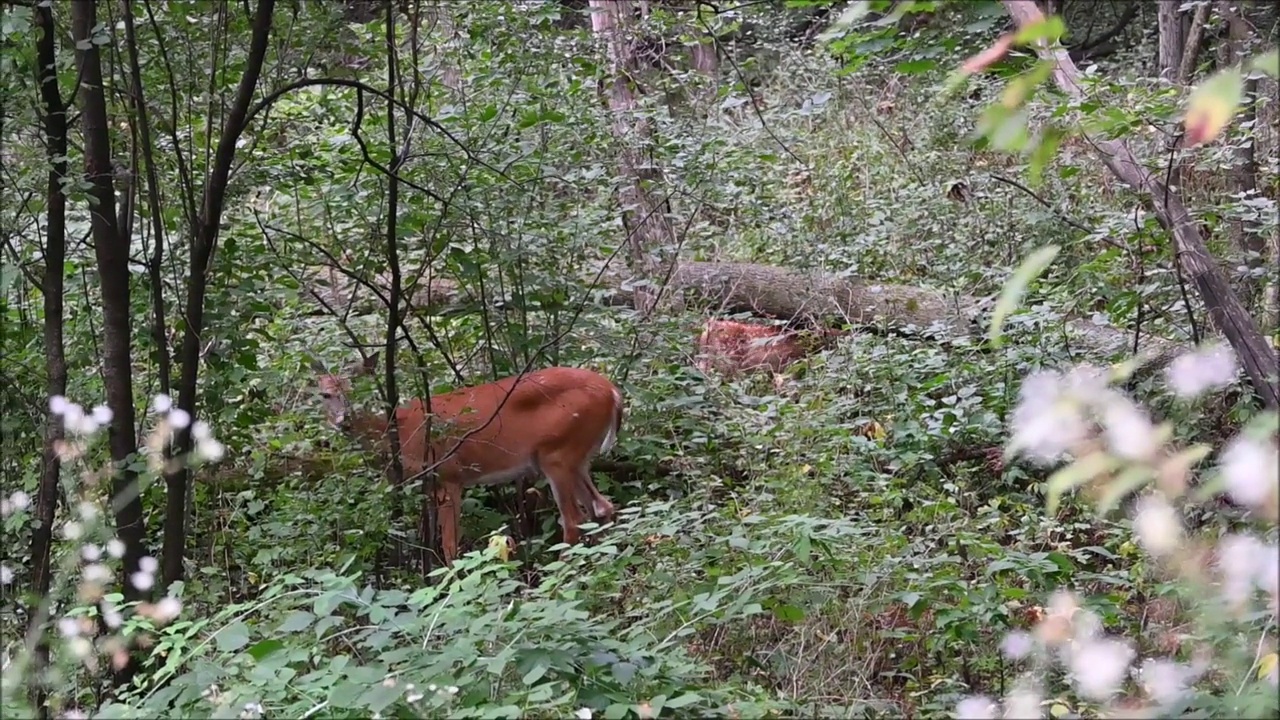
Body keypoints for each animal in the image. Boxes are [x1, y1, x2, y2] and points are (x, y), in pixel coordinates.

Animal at [314, 353, 624, 566]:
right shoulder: (431, 483)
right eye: (325, 394)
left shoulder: (448, 474)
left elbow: (450, 544)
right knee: (601, 507)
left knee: (573, 519)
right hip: (576, 455)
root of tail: (612, 391)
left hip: (557, 452)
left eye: (356, 390)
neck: (399, 431)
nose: (343, 420)